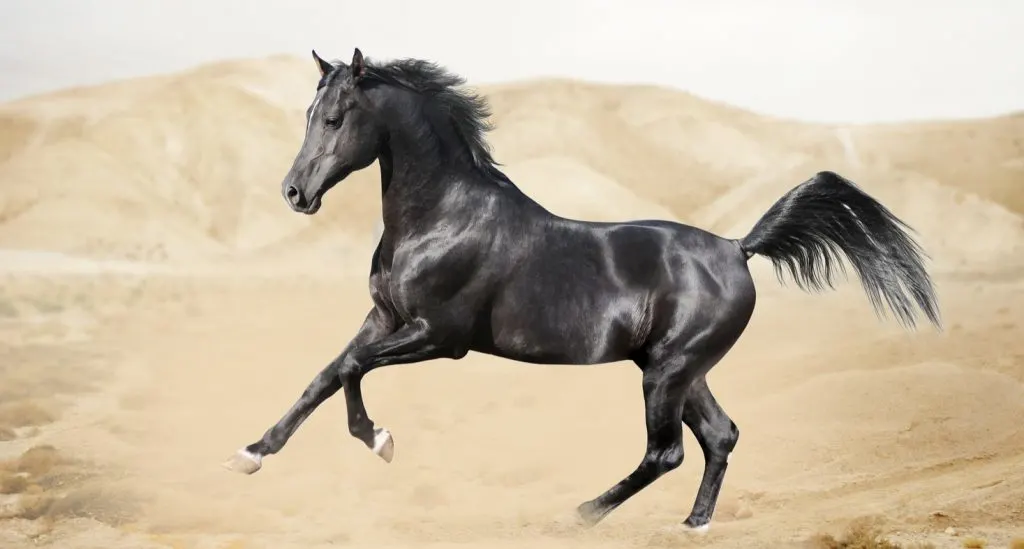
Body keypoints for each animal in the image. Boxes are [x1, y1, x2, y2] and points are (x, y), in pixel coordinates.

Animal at [223, 47, 942, 533]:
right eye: (309, 113)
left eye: (336, 117)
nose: (294, 192)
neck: (441, 217)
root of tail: (739, 247)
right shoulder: (383, 317)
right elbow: (325, 373)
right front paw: (251, 453)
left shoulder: (439, 336)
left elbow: (350, 369)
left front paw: (378, 439)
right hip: (682, 369)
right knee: (721, 435)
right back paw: (694, 525)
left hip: (667, 371)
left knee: (667, 450)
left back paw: (579, 514)